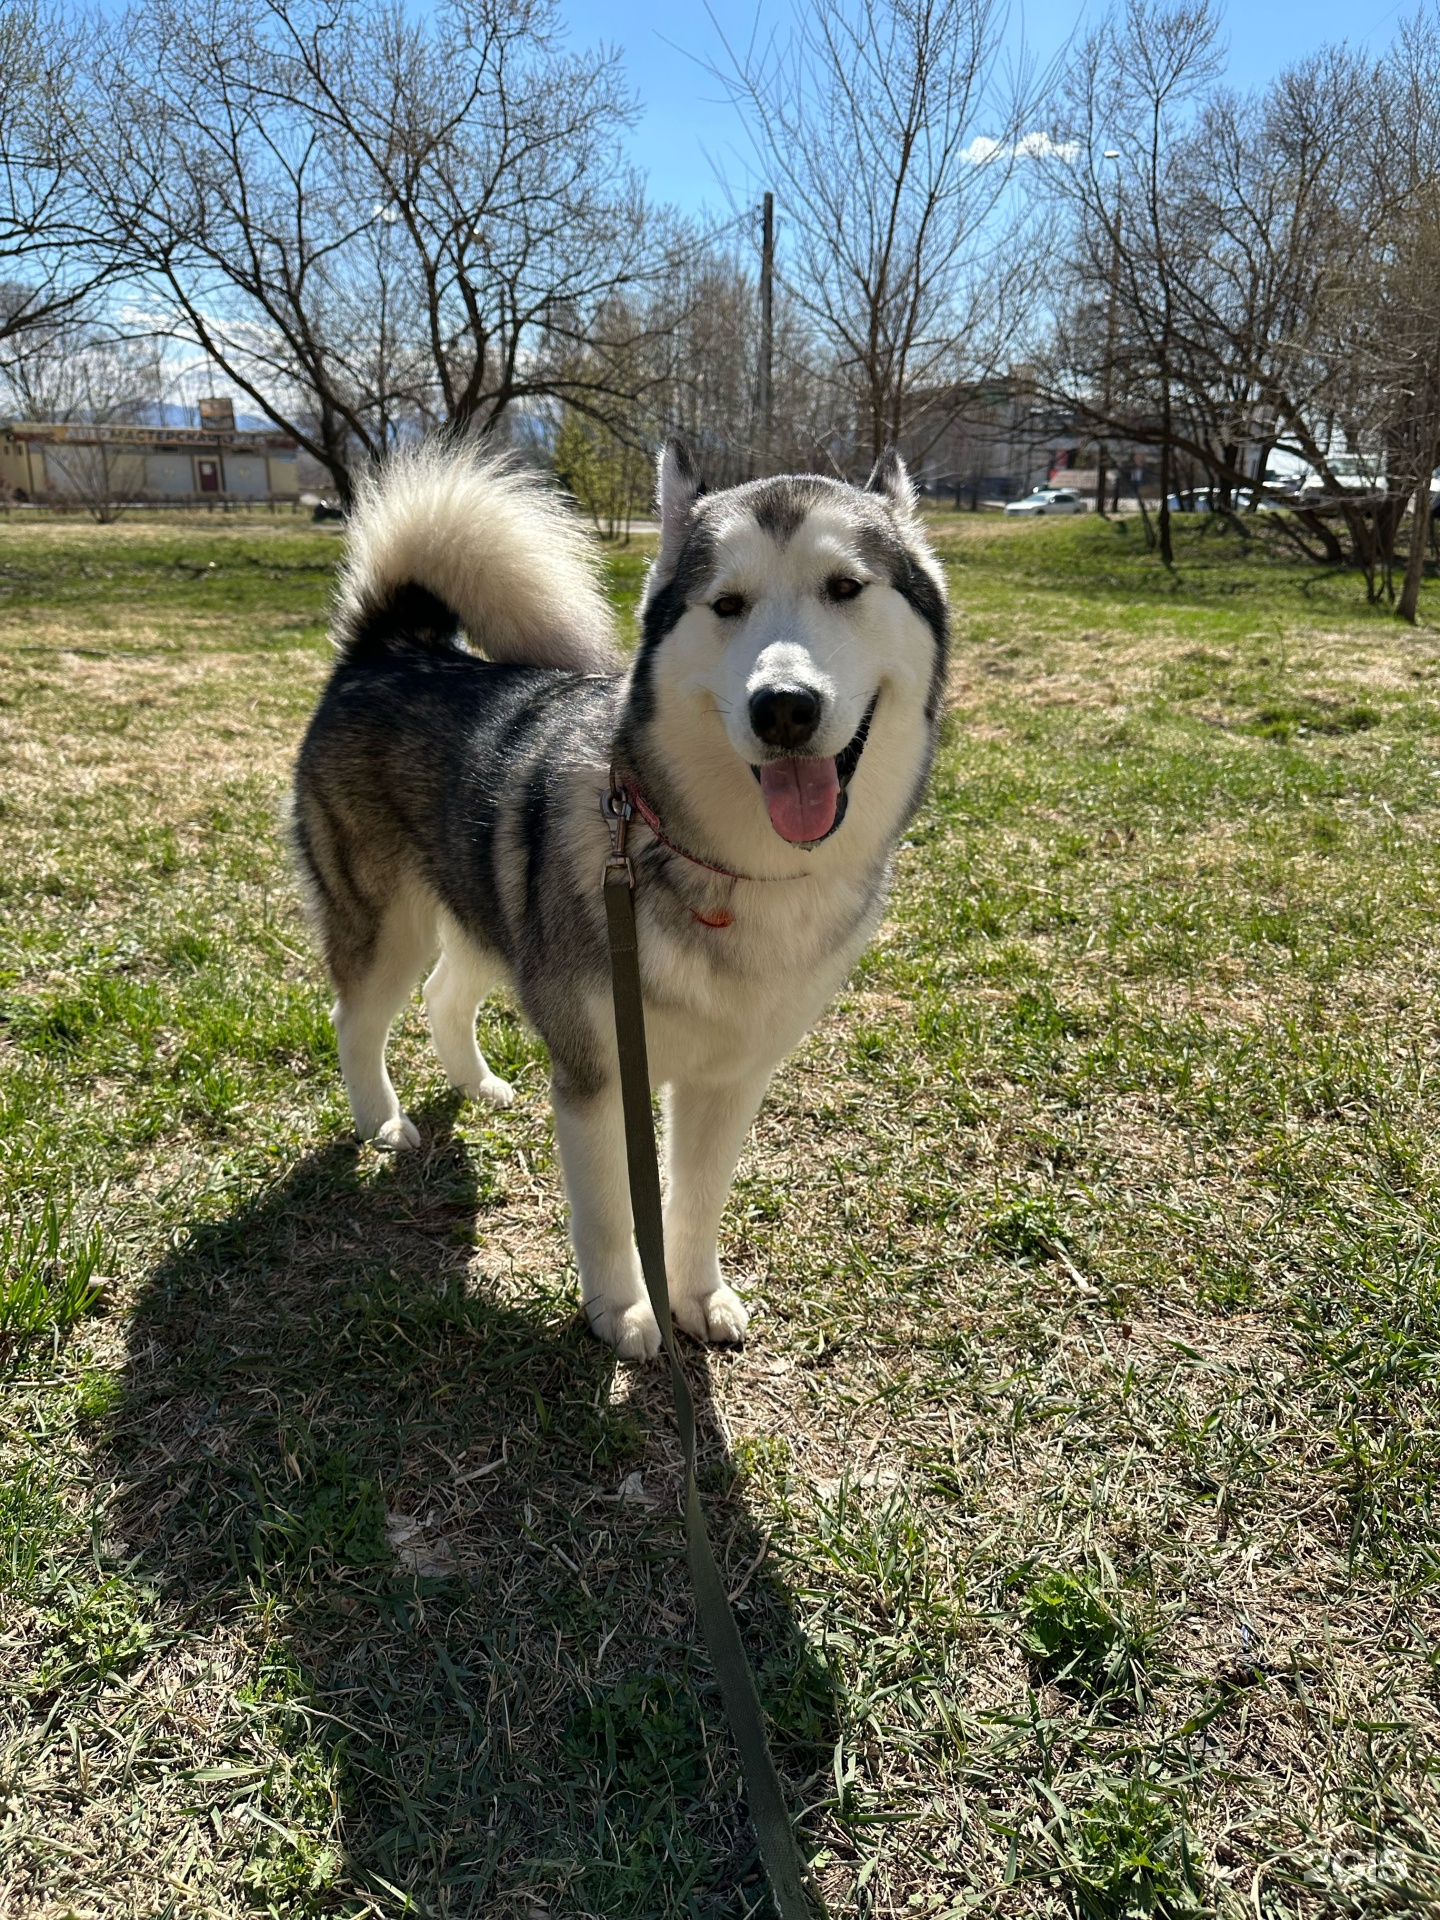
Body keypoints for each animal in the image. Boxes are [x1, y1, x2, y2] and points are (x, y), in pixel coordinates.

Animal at [289, 439, 948, 1359]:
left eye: (846, 587)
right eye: (727, 604)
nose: (783, 708)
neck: (727, 867)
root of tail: (389, 648)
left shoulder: (730, 1078)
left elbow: (697, 1199)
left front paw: (695, 1295)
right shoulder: (598, 1074)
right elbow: (608, 1213)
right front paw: (626, 1313)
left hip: (493, 918)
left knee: (445, 994)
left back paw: (478, 1086)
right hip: (387, 922)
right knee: (358, 1017)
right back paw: (382, 1124)